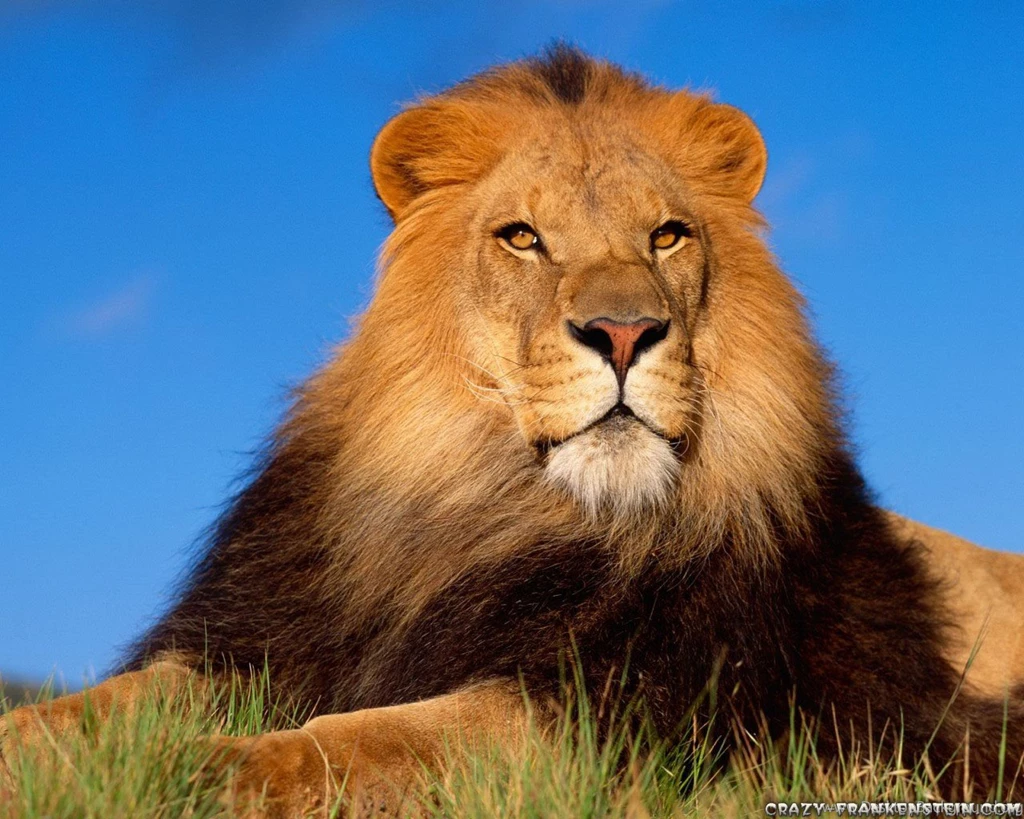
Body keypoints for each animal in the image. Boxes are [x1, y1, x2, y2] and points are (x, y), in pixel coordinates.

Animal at [3, 45, 1024, 817]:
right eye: (522, 237)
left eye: (667, 235)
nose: (624, 331)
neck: (490, 507)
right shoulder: (263, 641)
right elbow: (109, 703)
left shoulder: (620, 710)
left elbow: (363, 743)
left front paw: (201, 770)